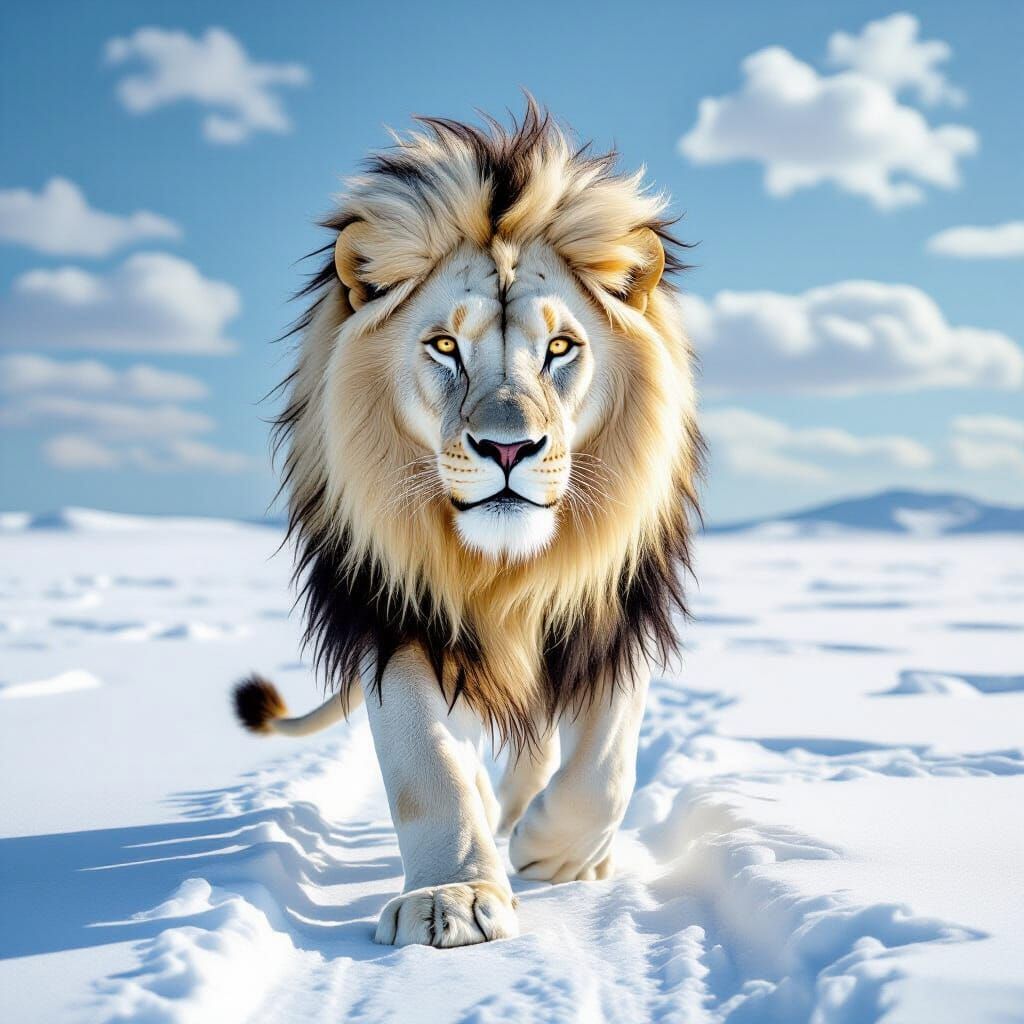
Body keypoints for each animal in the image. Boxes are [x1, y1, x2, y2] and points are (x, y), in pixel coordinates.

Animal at [233, 101, 702, 949]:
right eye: (445, 345)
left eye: (560, 347)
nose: (508, 447)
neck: (504, 567)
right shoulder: (391, 609)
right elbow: (427, 765)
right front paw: (450, 896)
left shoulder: (614, 606)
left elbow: (604, 766)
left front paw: (555, 854)